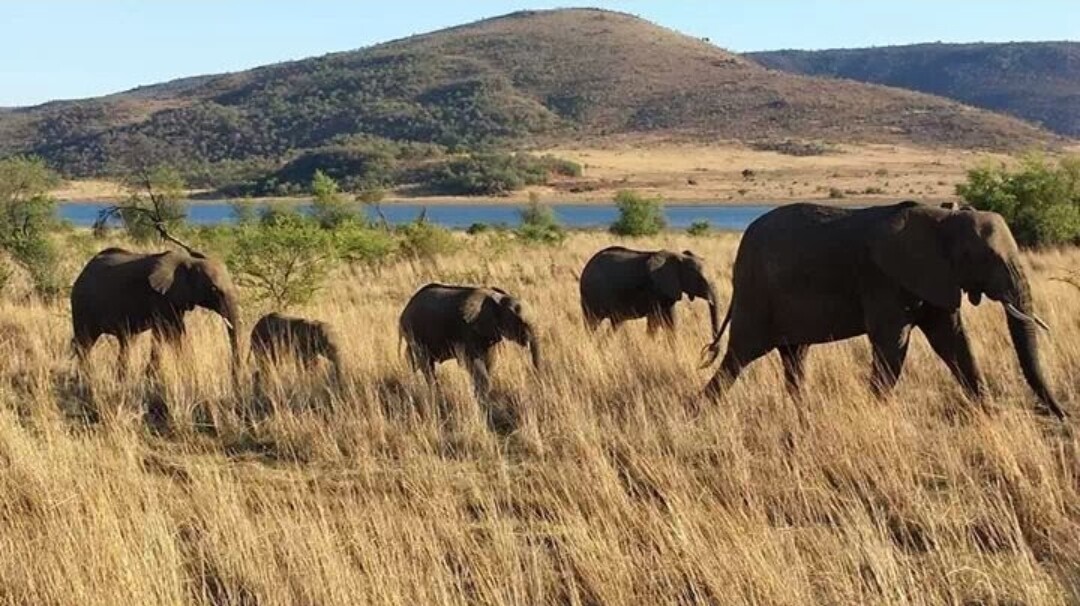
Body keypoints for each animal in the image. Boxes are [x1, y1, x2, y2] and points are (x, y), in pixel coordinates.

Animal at [70, 246, 241, 377]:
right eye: (214, 289)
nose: (233, 374)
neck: (189, 261)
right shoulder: (160, 297)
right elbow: (165, 331)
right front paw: (153, 375)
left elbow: (176, 331)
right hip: (81, 305)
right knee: (84, 342)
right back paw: (86, 376)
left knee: (123, 341)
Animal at [399, 283, 541, 396]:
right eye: (521, 323)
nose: (535, 377)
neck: (497, 300)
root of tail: (405, 310)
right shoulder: (467, 330)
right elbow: (473, 362)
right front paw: (483, 396)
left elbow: (490, 361)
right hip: (414, 332)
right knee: (426, 365)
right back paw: (435, 393)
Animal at [579, 246, 720, 341]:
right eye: (700, 279)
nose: (712, 347)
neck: (679, 257)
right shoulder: (655, 289)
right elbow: (655, 320)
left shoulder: (668, 291)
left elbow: (670, 321)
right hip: (591, 295)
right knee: (592, 323)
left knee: (615, 323)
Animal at [701, 201, 1065, 419]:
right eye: (984, 258)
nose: (1062, 414)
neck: (942, 219)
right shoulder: (884, 278)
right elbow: (893, 343)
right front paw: (876, 412)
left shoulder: (936, 278)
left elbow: (953, 341)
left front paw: (988, 413)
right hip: (756, 295)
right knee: (741, 355)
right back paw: (701, 409)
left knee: (794, 356)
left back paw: (802, 415)